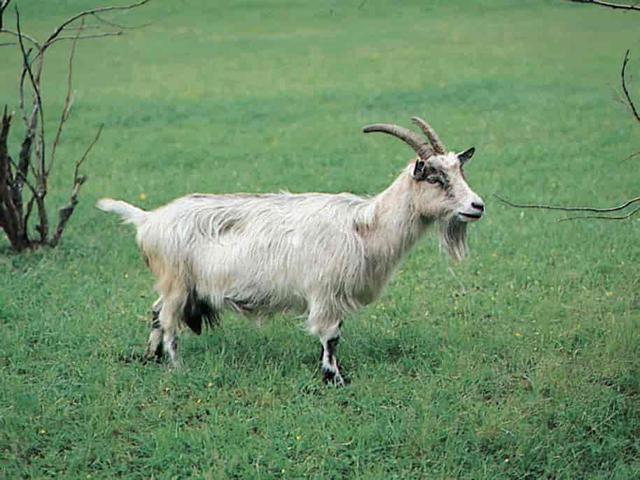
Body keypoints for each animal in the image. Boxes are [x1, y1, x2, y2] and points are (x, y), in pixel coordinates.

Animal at [97, 116, 485, 385]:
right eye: (434, 178)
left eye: (460, 172)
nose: (477, 206)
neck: (365, 226)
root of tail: (148, 219)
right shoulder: (325, 293)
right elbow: (331, 337)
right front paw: (334, 379)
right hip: (177, 281)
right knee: (168, 321)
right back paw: (176, 367)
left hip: (176, 284)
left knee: (155, 312)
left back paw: (151, 357)